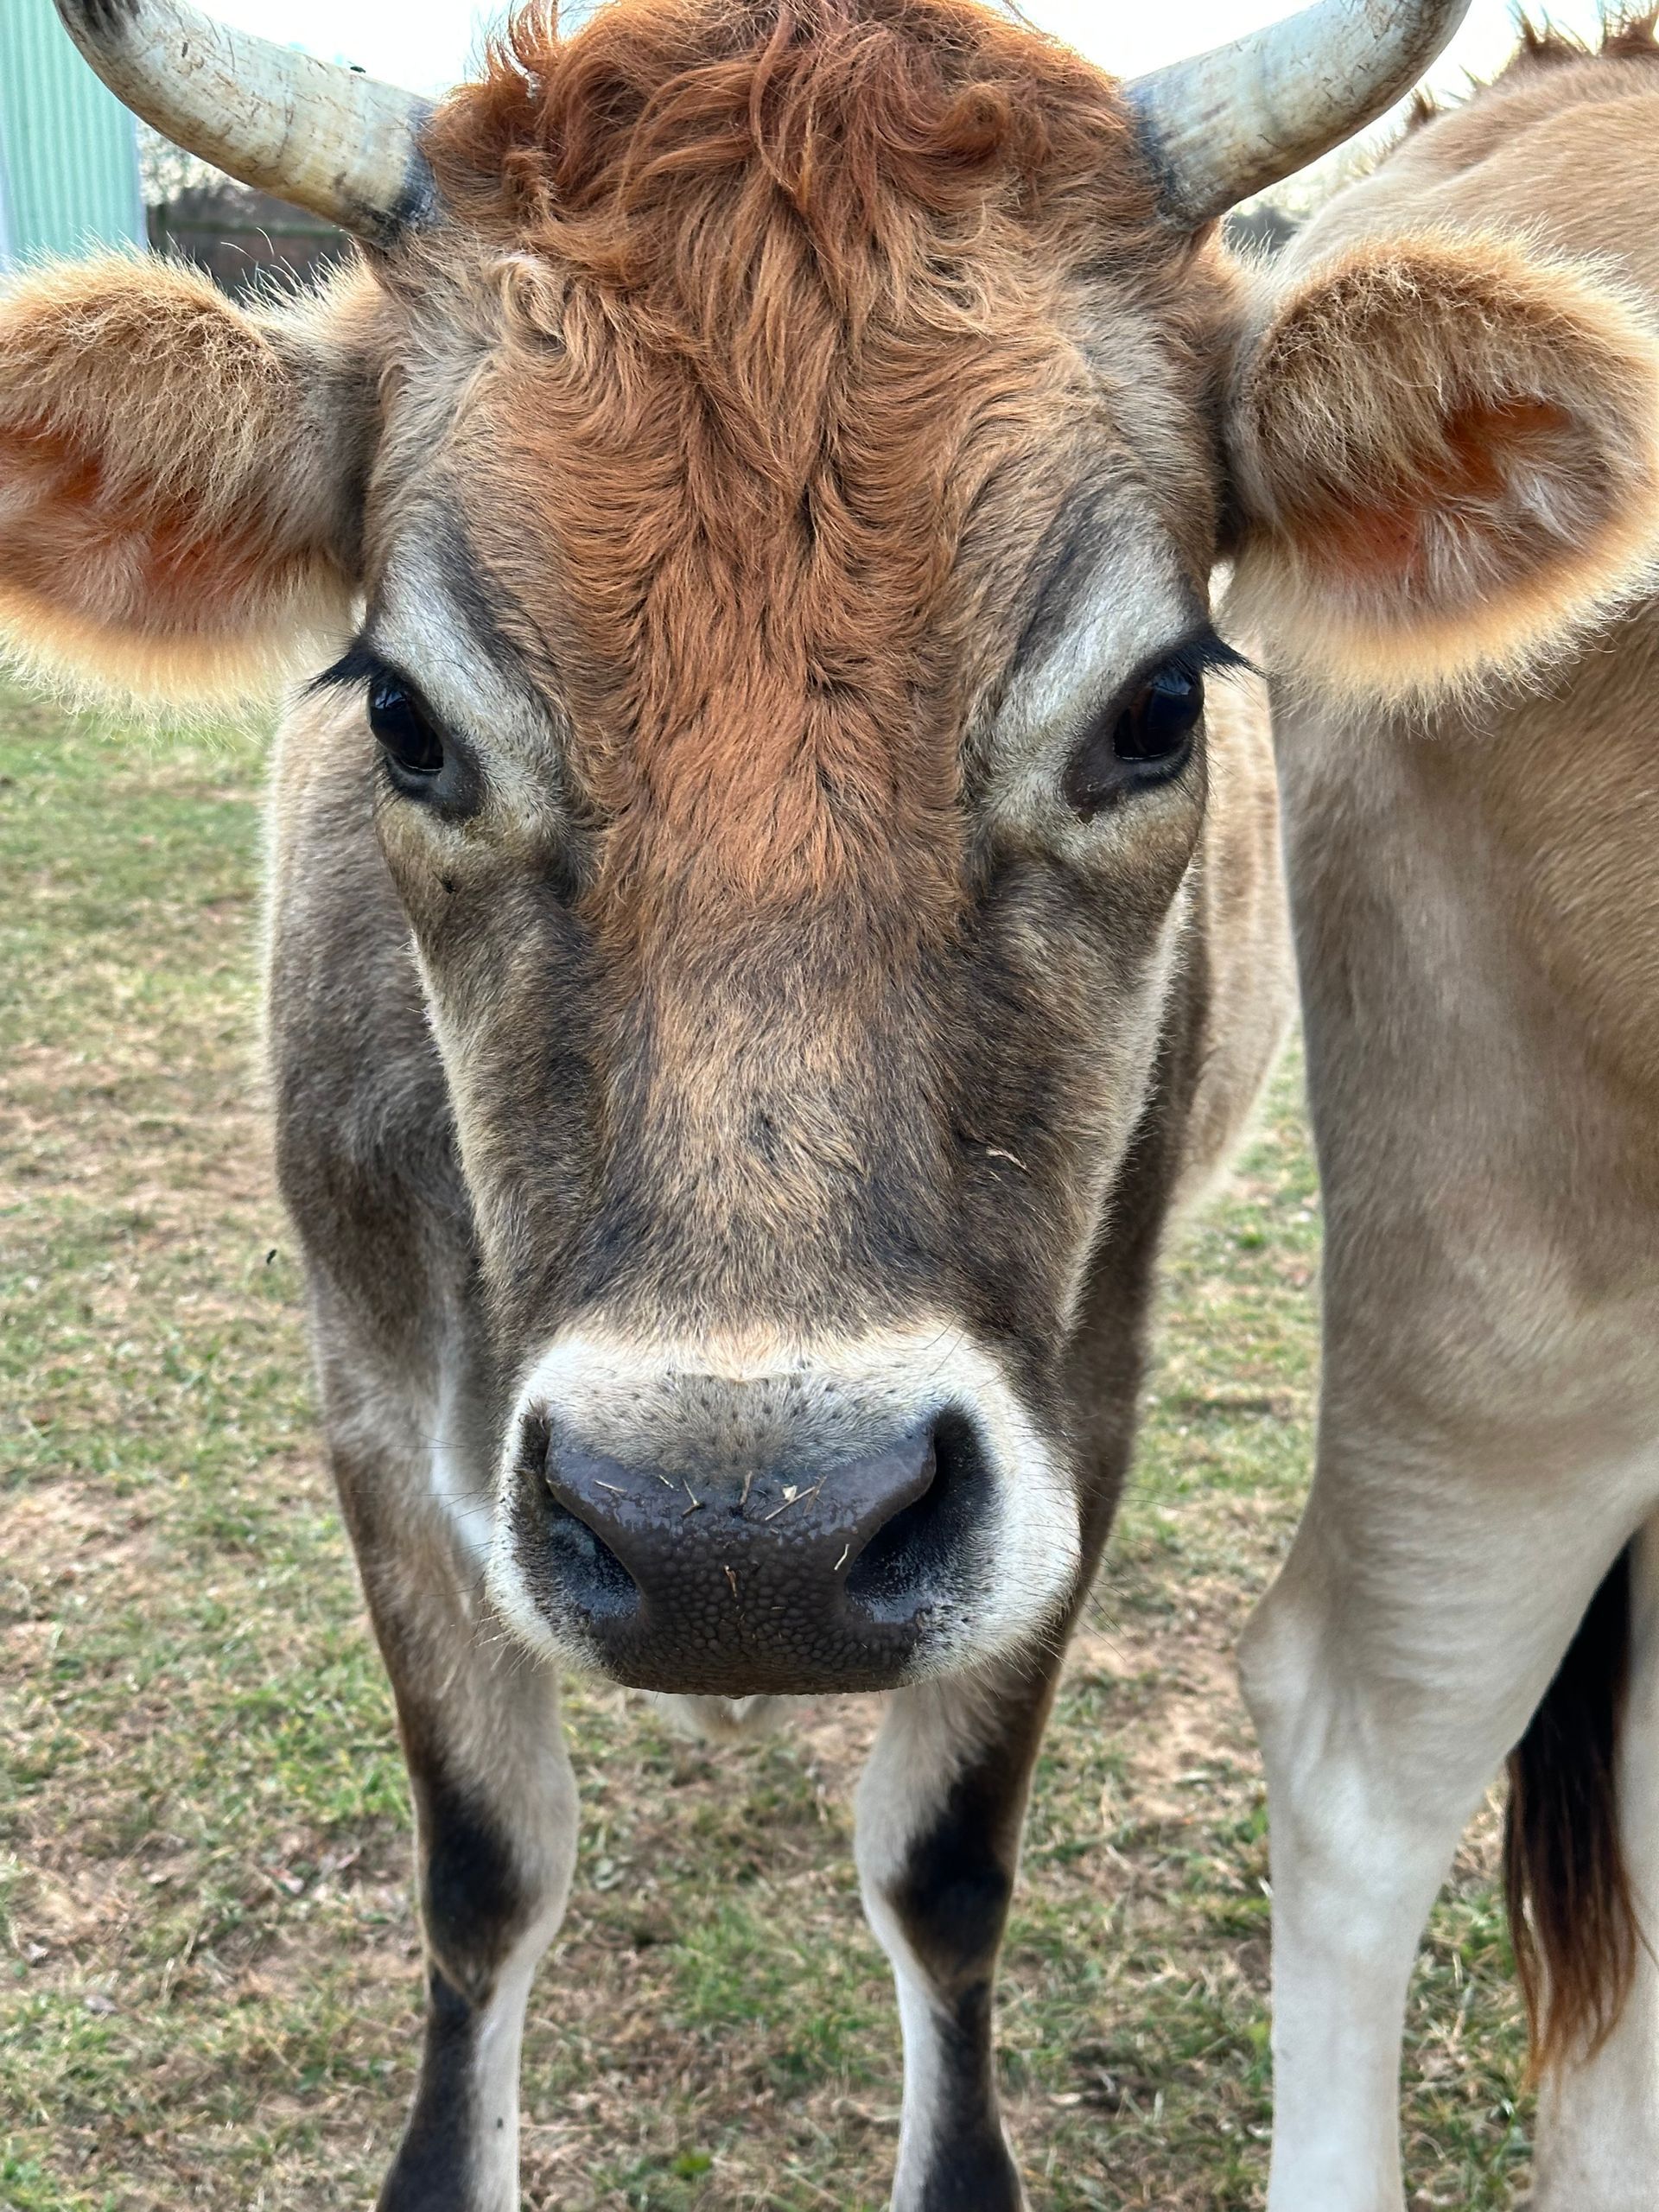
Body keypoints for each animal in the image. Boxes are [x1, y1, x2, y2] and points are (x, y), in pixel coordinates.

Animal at [6, 0, 1658, 2205]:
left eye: (1155, 706)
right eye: (403, 717)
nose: (742, 1534)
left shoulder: (1075, 1404)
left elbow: (945, 1869)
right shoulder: (366, 1395)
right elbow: (484, 1869)